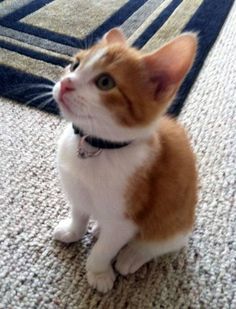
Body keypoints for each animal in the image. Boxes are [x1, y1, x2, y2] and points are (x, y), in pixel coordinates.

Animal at [52, 28, 198, 292]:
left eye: (105, 82)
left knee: (159, 244)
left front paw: (98, 272)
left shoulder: (125, 220)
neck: (96, 146)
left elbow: (104, 249)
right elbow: (79, 214)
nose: (66, 83)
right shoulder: (77, 191)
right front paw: (72, 231)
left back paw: (132, 255)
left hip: (174, 224)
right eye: (75, 65)